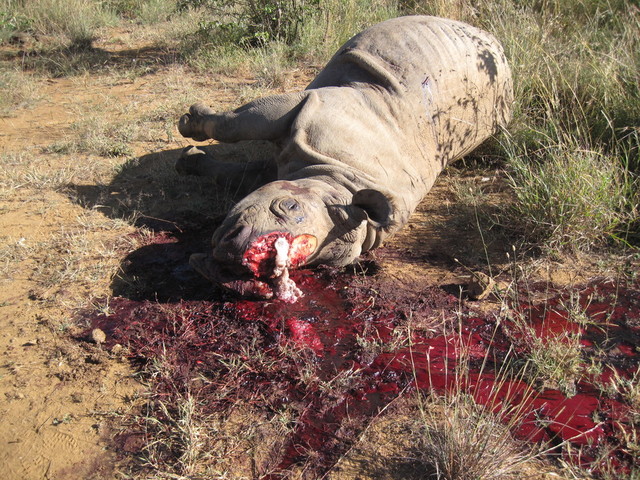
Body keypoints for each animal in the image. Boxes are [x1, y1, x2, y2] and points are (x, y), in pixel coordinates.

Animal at [177, 15, 513, 301]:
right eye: (289, 206)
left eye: (316, 262)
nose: (243, 263)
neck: (337, 178)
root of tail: (491, 39)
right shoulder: (311, 107)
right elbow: (237, 127)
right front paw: (189, 131)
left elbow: (242, 170)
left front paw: (189, 156)